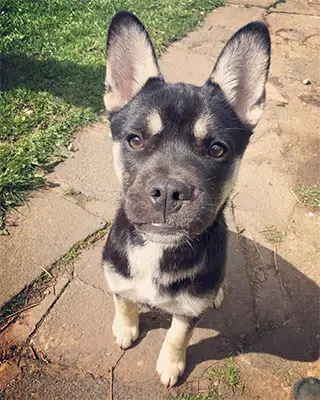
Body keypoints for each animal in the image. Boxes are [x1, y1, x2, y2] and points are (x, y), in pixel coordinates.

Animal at [102, 10, 270, 388]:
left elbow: (178, 335)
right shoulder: (116, 276)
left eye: (217, 149)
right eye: (135, 140)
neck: (157, 249)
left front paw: (171, 365)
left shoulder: (190, 310)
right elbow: (123, 301)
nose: (168, 191)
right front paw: (125, 328)